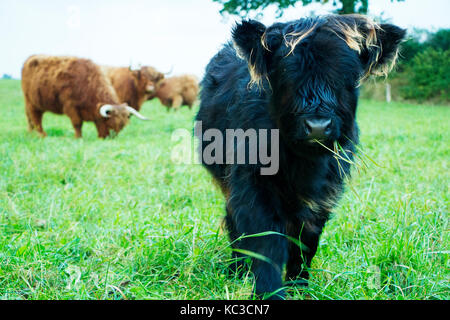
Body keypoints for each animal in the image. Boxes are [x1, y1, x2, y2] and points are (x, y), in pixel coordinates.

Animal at [195, 14, 406, 300]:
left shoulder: (322, 195)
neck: (303, 166)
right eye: (285, 72)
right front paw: (269, 291)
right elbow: (266, 241)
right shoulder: (252, 186)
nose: (317, 126)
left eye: (348, 76)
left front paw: (298, 286)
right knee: (234, 224)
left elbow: (305, 243)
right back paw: (237, 270)